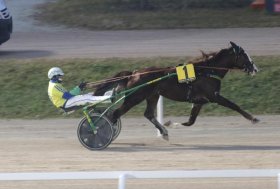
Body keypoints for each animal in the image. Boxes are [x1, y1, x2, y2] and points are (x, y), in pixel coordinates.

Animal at [93, 42, 258, 140]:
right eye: (244, 55)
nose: (255, 69)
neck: (208, 71)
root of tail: (133, 73)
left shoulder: (199, 101)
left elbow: (191, 120)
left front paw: (173, 124)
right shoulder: (214, 96)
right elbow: (233, 105)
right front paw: (253, 118)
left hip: (153, 95)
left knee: (148, 114)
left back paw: (164, 132)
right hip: (135, 97)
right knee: (115, 114)